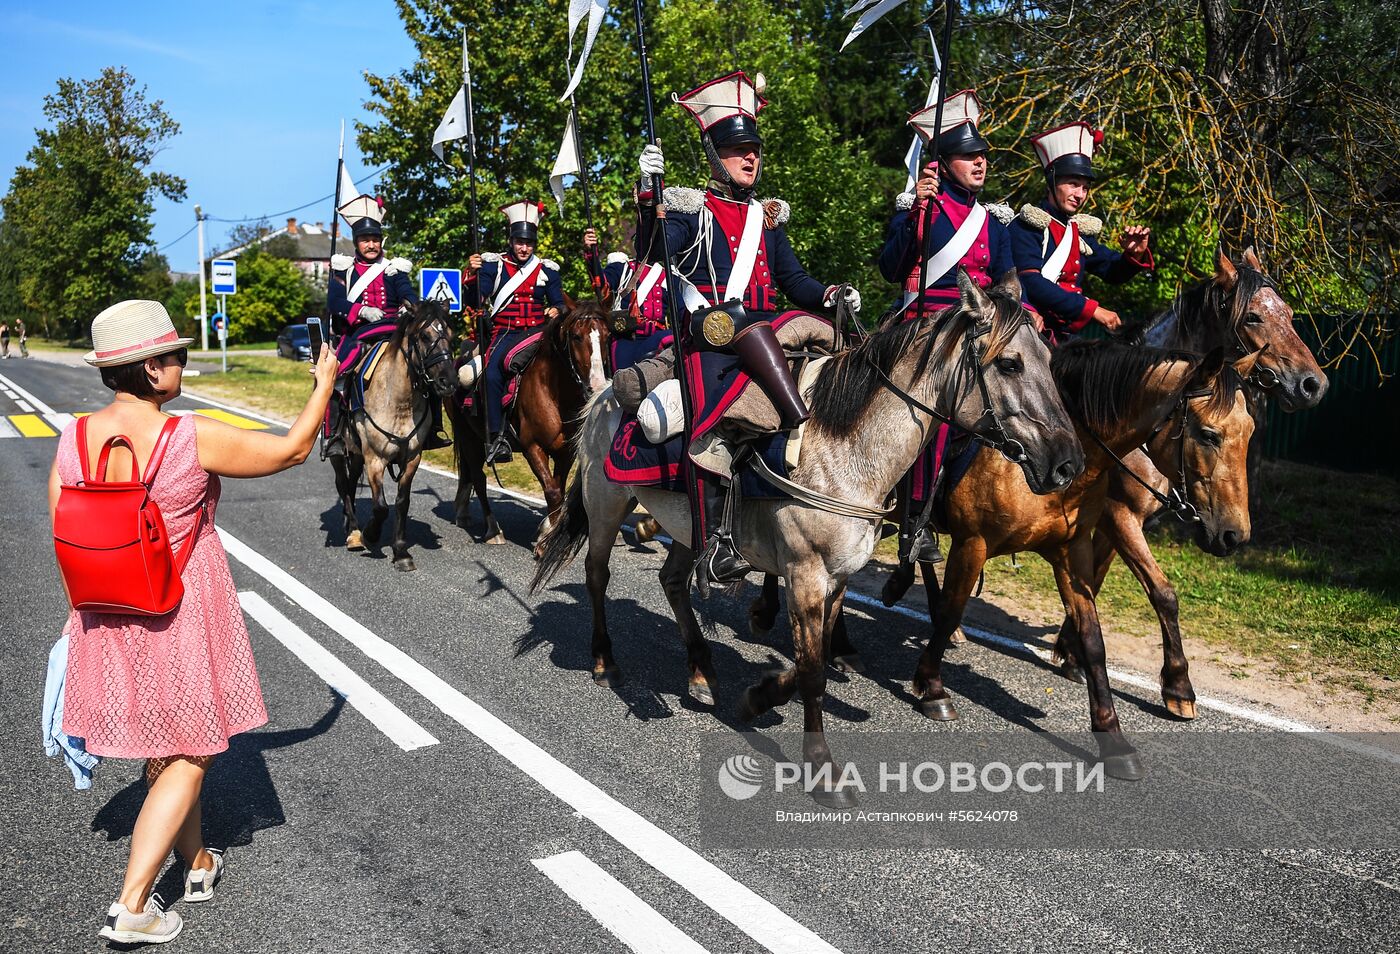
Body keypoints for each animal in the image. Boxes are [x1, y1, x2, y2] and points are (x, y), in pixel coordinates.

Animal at [330, 301, 456, 568]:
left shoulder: (411, 458)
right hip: (341, 451)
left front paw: (400, 551)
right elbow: (380, 506)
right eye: (424, 335)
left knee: (350, 482)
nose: (449, 381)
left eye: (451, 336)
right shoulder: (375, 458)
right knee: (342, 483)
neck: (399, 401)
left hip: (357, 454)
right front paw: (370, 535)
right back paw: (354, 531)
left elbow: (401, 502)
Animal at [534, 271, 1080, 806]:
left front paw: (759, 697)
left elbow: (808, 662)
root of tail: (605, 392)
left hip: (688, 527)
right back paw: (605, 661)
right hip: (606, 505)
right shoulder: (805, 576)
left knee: (672, 581)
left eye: (1051, 361)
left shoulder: (835, 581)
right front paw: (821, 769)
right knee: (597, 575)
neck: (845, 449)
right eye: (1009, 363)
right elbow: (813, 670)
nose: (1067, 465)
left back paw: (701, 671)